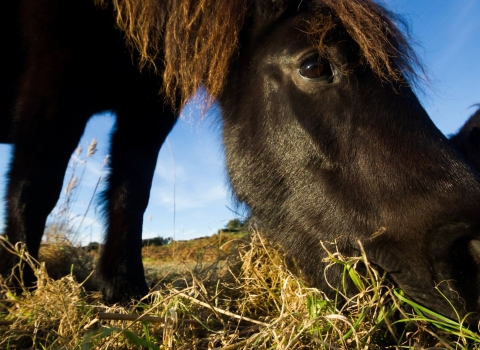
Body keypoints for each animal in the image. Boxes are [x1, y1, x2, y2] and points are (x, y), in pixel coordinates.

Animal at [0, 0, 480, 322]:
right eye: (313, 65)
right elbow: (34, 190)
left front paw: (123, 288)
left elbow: (130, 192)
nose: (472, 253)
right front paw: (20, 288)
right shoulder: (53, 87)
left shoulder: (150, 107)